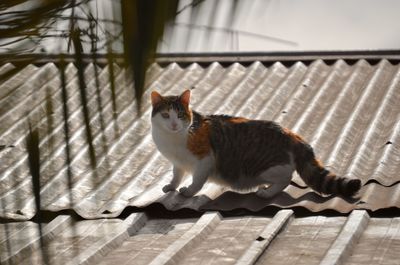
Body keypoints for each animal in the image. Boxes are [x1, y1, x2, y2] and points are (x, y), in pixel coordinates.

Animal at [151, 88, 362, 198]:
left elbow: (197, 180)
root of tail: (291, 134)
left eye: (180, 114)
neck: (173, 139)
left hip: (263, 168)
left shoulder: (205, 160)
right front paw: (171, 186)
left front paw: (188, 192)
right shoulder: (177, 163)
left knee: (286, 177)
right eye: (165, 115)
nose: (174, 124)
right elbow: (176, 175)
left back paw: (267, 193)